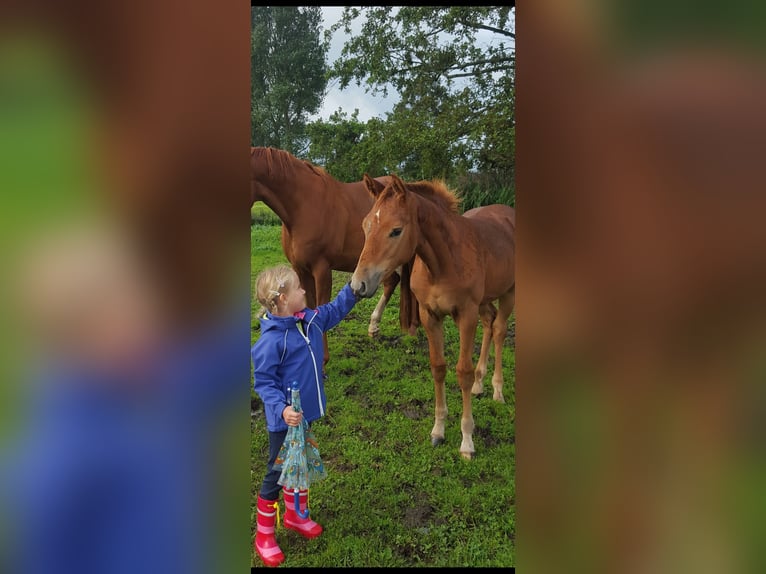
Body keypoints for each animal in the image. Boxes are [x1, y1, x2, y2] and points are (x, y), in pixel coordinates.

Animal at [250, 146, 420, 366]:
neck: (304, 205)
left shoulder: (322, 268)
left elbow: (319, 306)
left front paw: (322, 357)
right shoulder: (300, 269)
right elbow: (307, 305)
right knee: (392, 282)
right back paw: (374, 327)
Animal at [352, 173, 516, 462]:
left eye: (396, 230)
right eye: (366, 225)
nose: (358, 284)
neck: (443, 262)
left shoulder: (466, 315)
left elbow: (462, 371)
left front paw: (467, 440)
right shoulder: (429, 316)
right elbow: (438, 367)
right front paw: (438, 430)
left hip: (509, 293)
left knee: (499, 330)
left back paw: (497, 389)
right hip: (485, 301)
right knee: (490, 322)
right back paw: (480, 384)